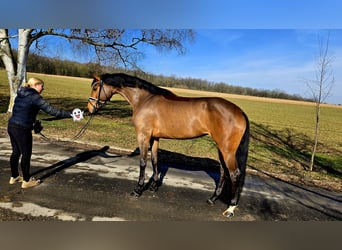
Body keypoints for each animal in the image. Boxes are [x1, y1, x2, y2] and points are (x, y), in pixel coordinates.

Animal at [87, 73, 250, 217]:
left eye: (95, 87)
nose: (89, 109)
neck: (144, 100)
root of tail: (240, 111)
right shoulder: (154, 138)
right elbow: (154, 160)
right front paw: (153, 186)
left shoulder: (143, 136)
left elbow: (143, 162)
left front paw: (138, 190)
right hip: (220, 148)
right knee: (223, 172)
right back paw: (212, 199)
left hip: (227, 150)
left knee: (234, 174)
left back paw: (230, 209)